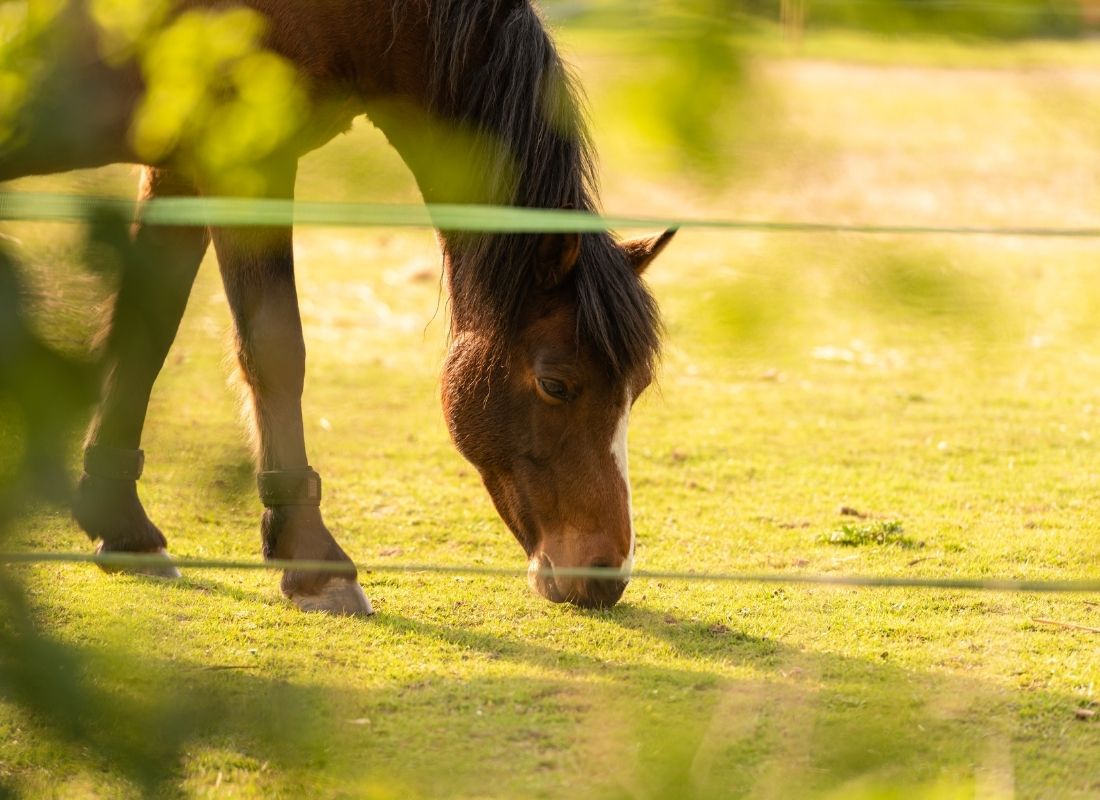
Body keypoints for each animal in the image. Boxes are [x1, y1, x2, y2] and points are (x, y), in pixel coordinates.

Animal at [0, 0, 675, 614]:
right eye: (556, 384)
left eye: (636, 390)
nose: (606, 575)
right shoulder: (245, 162)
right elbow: (275, 349)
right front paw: (314, 563)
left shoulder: (179, 167)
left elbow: (148, 332)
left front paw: (124, 529)